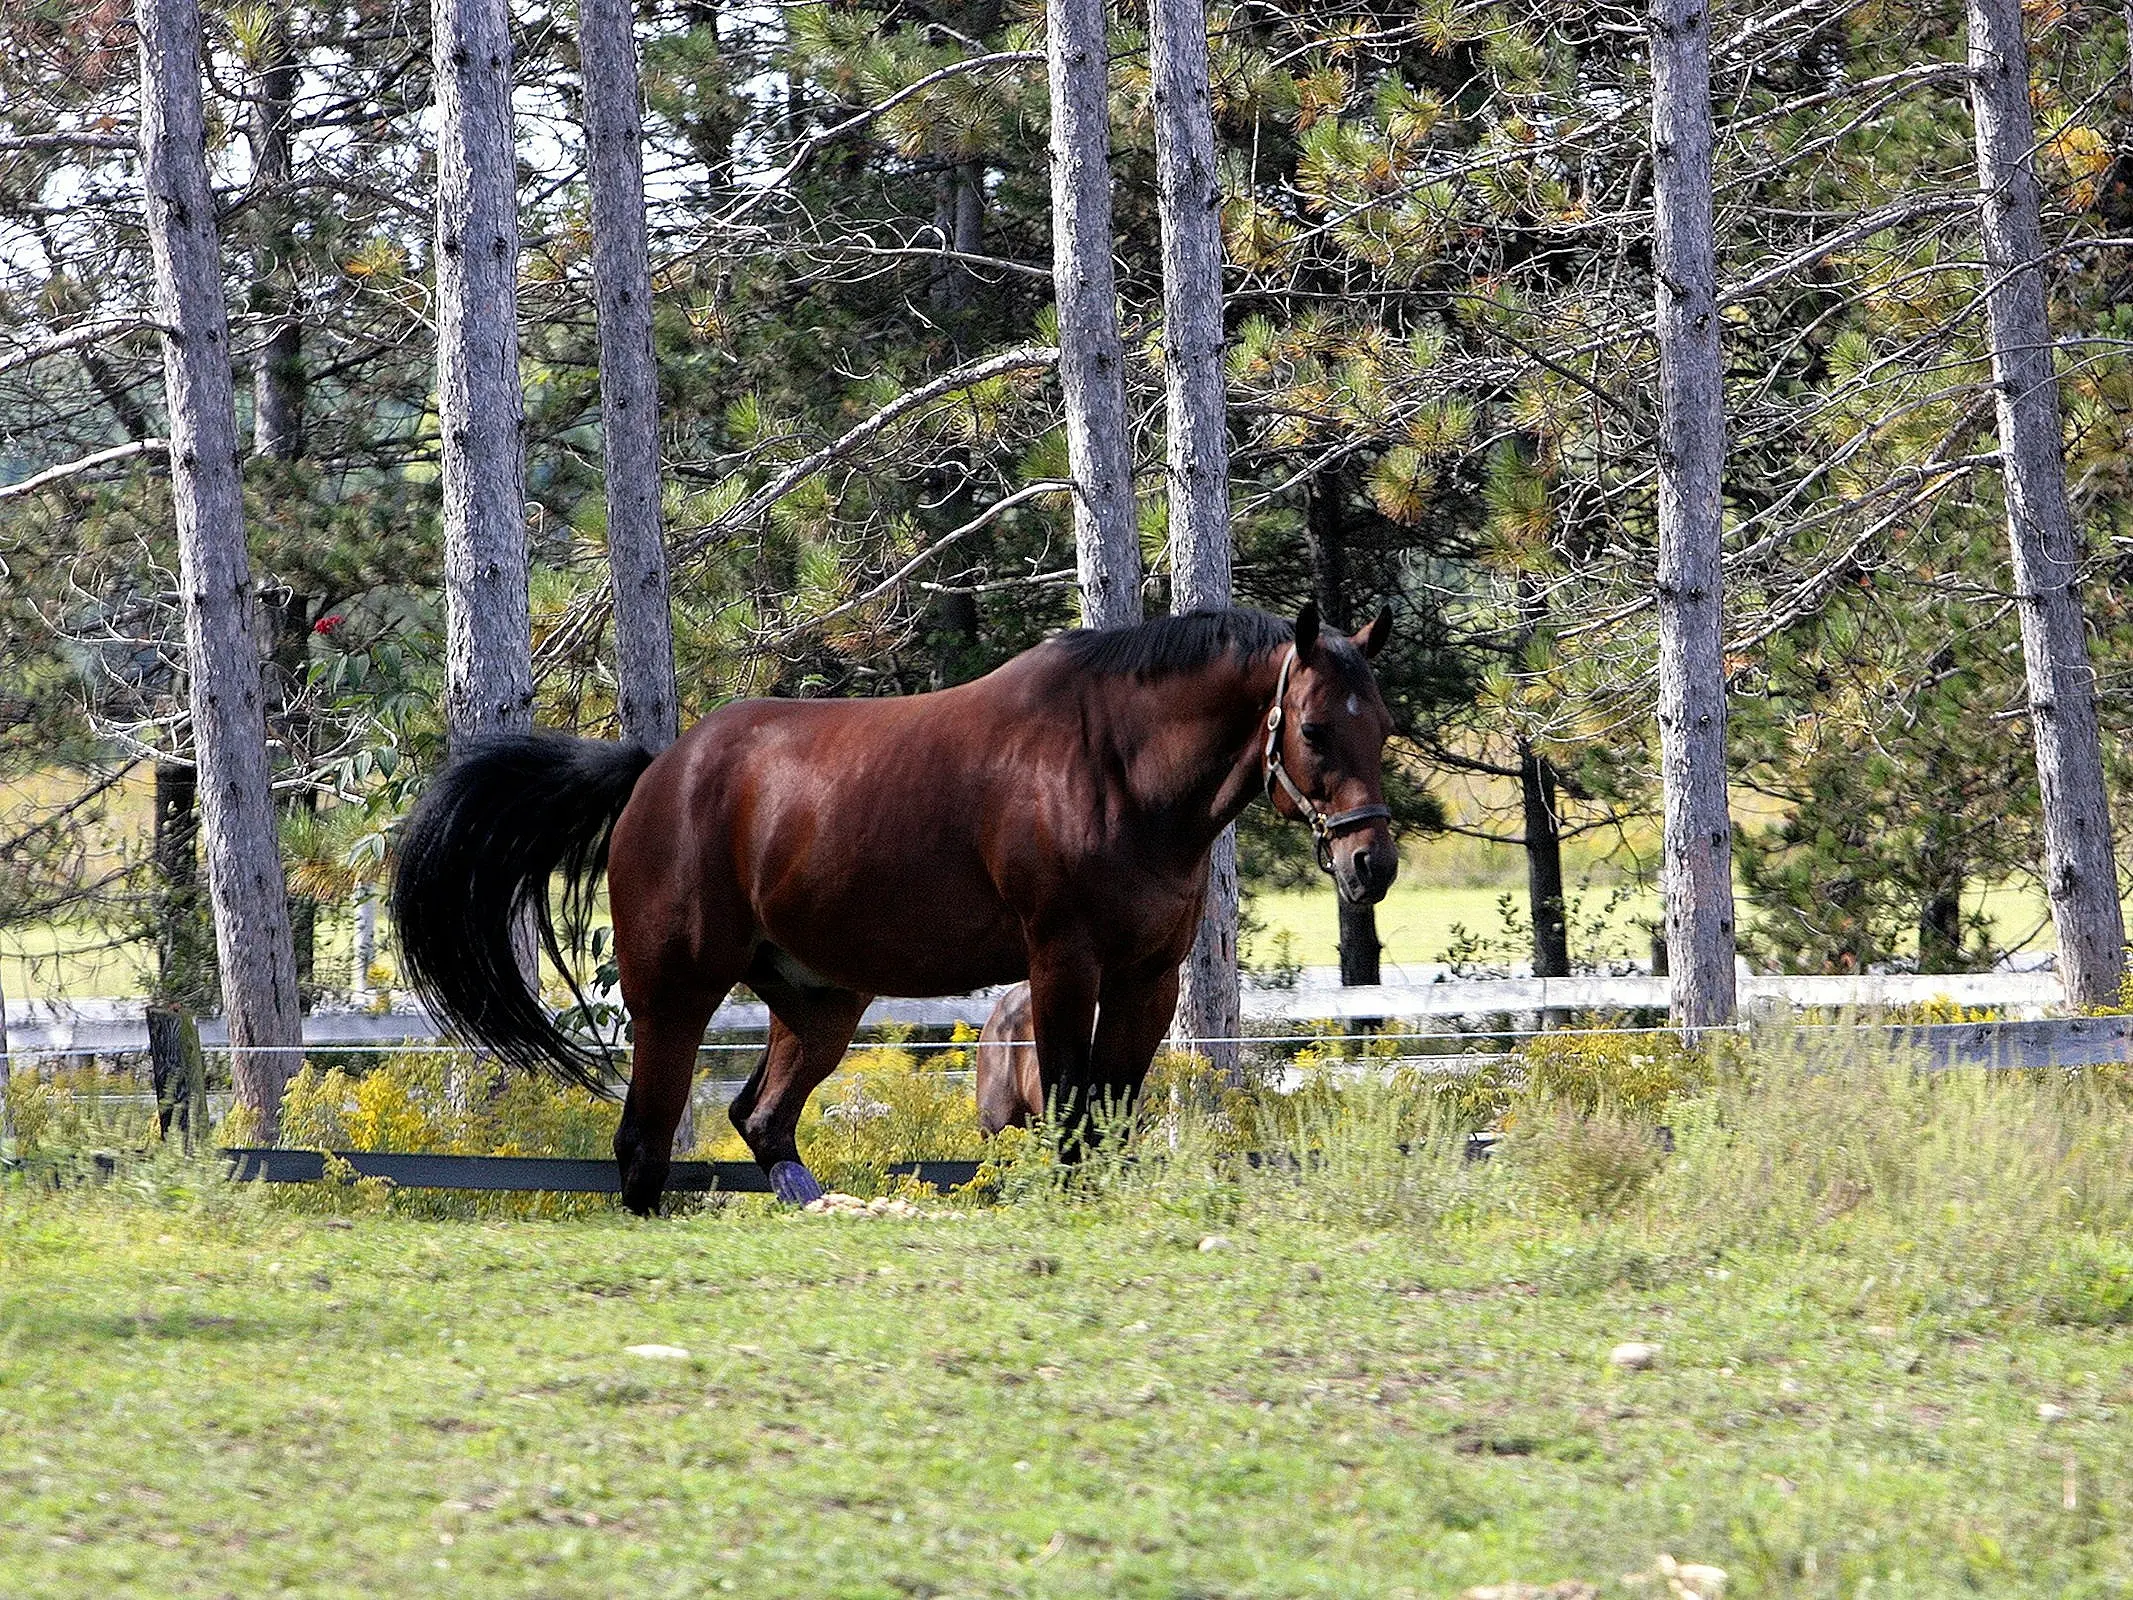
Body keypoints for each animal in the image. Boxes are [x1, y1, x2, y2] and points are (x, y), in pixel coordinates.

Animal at [394, 605, 1399, 1211]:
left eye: (1382, 727)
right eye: (1314, 729)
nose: (1372, 865)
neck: (1114, 768)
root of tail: (657, 772)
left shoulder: (1147, 980)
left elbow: (1108, 1115)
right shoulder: (1063, 966)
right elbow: (1070, 1113)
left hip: (819, 1006)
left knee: (762, 1118)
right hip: (674, 996)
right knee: (644, 1141)